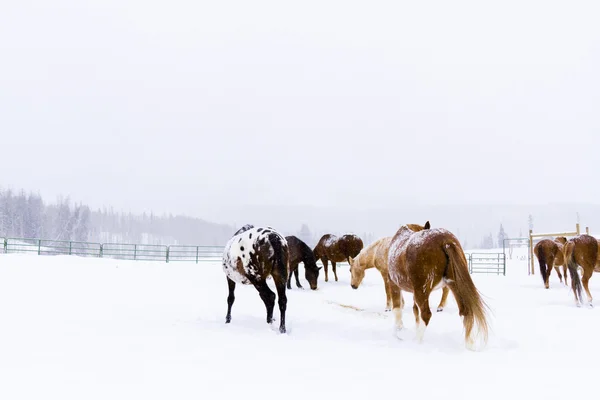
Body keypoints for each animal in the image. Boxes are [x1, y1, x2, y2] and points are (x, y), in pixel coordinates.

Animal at [386, 222, 490, 350]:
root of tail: (445, 240)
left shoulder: (394, 284)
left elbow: (397, 310)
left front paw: (397, 333)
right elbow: (415, 312)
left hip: (422, 290)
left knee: (426, 314)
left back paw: (417, 342)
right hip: (453, 285)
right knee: (465, 311)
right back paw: (469, 344)